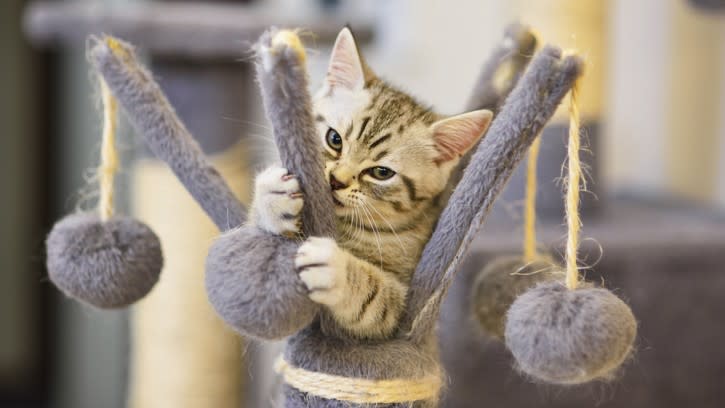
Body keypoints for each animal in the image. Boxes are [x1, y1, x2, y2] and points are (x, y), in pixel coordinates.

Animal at [249, 28, 492, 340]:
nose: (336, 180)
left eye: (381, 172)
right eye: (334, 139)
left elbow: (373, 295)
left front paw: (336, 269)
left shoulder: (402, 305)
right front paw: (272, 195)